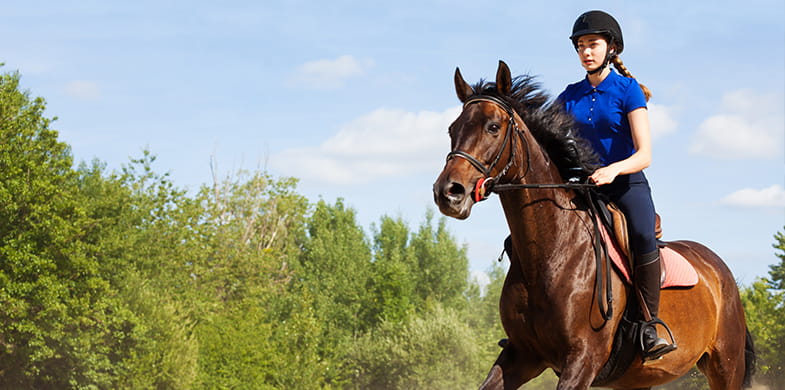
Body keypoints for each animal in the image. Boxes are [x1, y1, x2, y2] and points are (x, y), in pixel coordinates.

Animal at [432, 59, 756, 388]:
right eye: (452, 128)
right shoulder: (522, 355)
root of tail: (719, 269)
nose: (448, 192)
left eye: (493, 127)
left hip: (725, 367)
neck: (550, 251)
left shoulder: (583, 359)